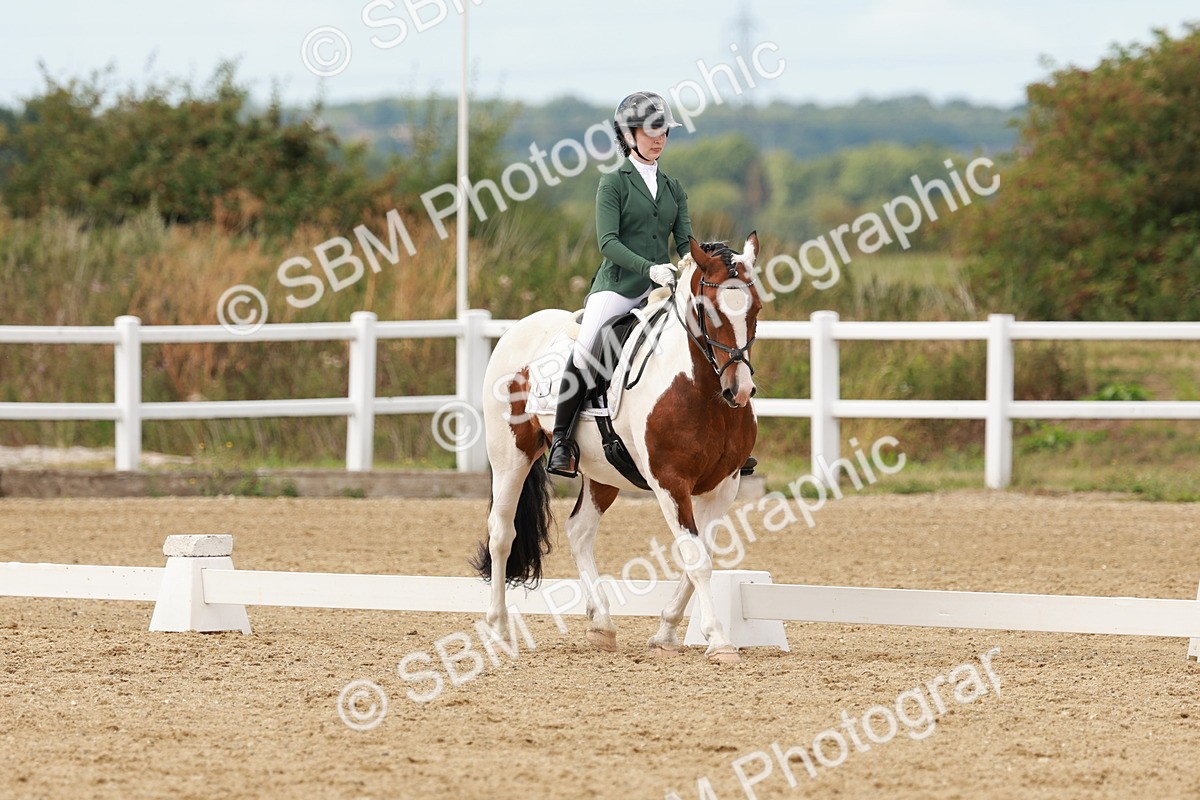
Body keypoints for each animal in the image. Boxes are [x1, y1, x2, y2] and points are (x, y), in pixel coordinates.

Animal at [472, 232, 762, 663]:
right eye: (707, 312)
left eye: (755, 308)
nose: (739, 391)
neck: (702, 389)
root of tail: (518, 328)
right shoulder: (670, 482)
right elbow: (697, 560)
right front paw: (720, 641)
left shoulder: (722, 487)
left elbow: (699, 557)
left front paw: (666, 634)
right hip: (511, 457)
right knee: (501, 534)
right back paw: (499, 633)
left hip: (602, 471)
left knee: (579, 531)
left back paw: (602, 625)